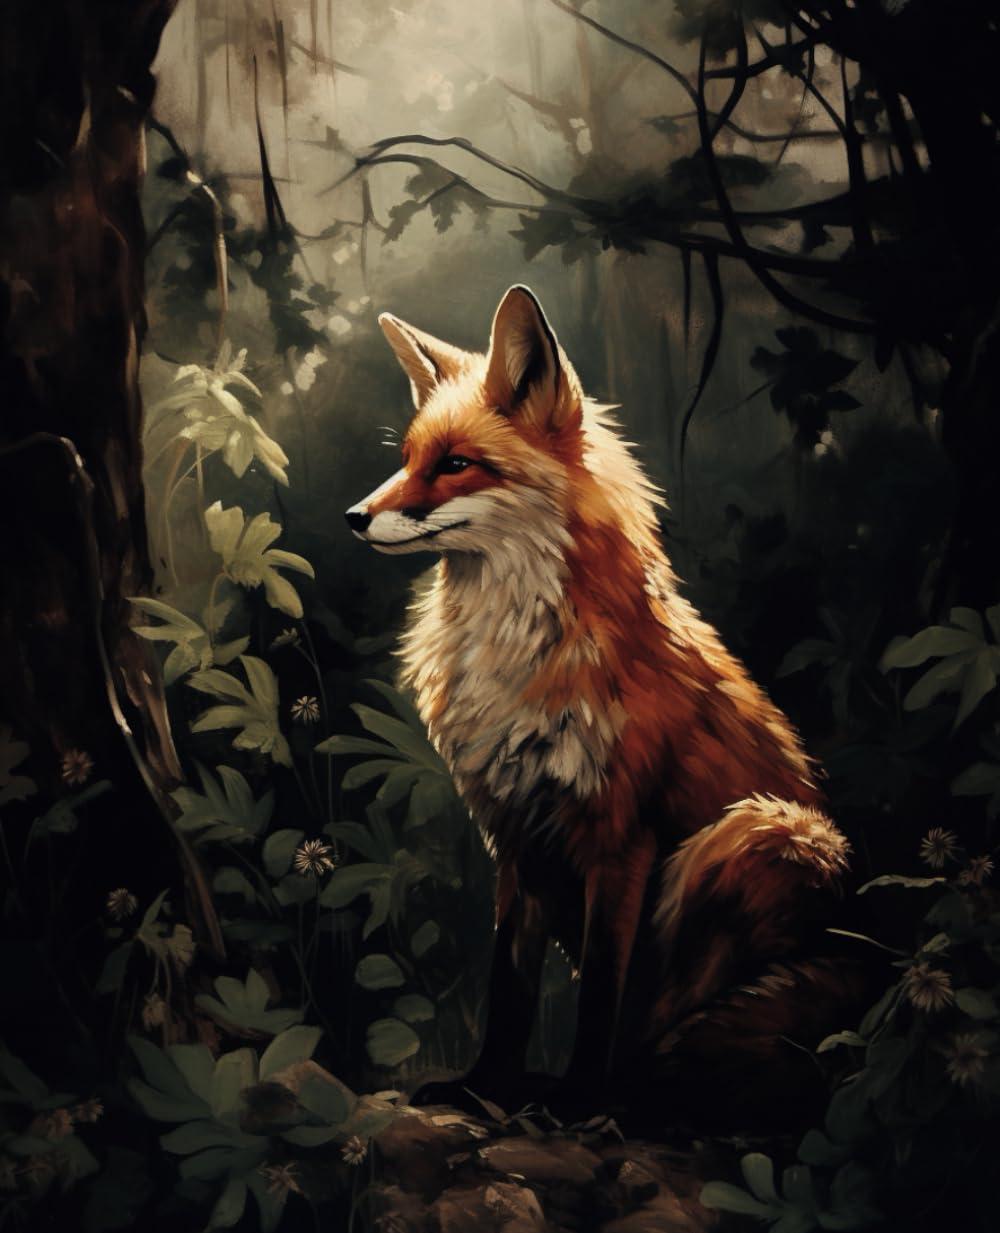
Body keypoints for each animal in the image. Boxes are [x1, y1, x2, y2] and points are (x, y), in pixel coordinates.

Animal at [346, 285, 861, 1126]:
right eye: (408, 460)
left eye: (455, 464)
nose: (355, 517)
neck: (519, 658)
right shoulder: (515, 835)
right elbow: (509, 987)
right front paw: (482, 1087)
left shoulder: (621, 835)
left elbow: (600, 1001)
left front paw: (576, 1098)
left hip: (759, 835)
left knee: (673, 1028)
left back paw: (626, 1096)